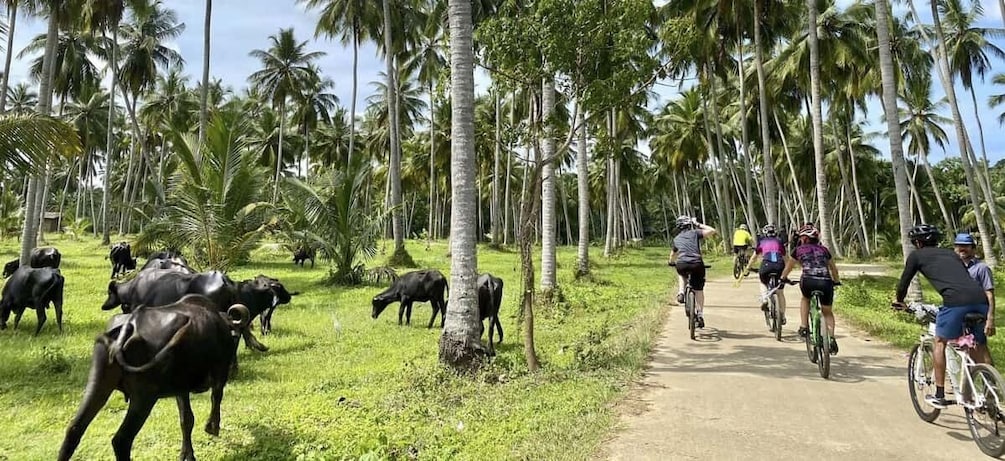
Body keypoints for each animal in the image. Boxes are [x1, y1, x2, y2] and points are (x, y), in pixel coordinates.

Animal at [57, 295, 251, 461]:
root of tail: (129, 326)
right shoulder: (219, 374)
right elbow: (215, 398)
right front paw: (212, 427)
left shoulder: (181, 389)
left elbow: (186, 419)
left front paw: (187, 454)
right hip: (144, 397)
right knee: (121, 440)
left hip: (98, 383)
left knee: (74, 429)